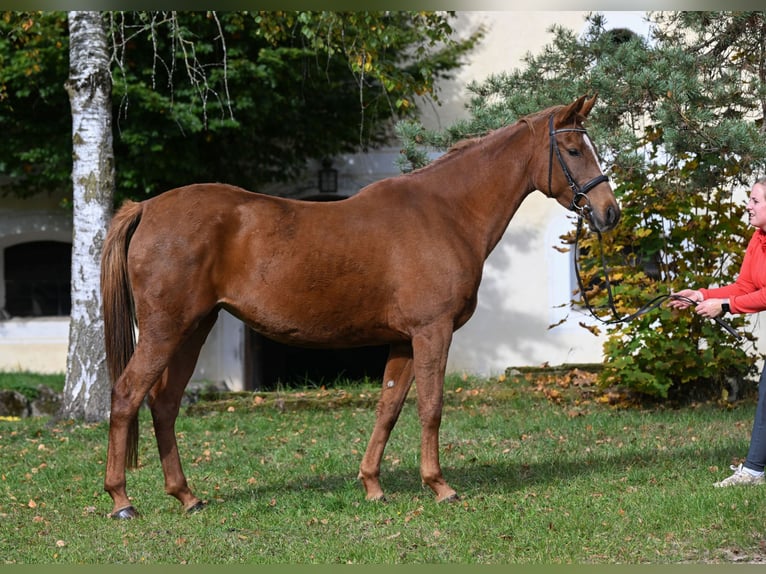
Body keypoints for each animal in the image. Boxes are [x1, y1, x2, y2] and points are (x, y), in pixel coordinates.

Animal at [100, 94, 620, 519]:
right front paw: (440, 487)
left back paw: (186, 496)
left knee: (164, 402)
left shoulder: (404, 340)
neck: (445, 212)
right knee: (126, 395)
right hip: (167, 329)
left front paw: (372, 485)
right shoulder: (432, 331)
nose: (608, 212)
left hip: (194, 329)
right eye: (574, 150)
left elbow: (388, 407)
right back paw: (122, 500)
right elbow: (431, 407)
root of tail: (146, 207)